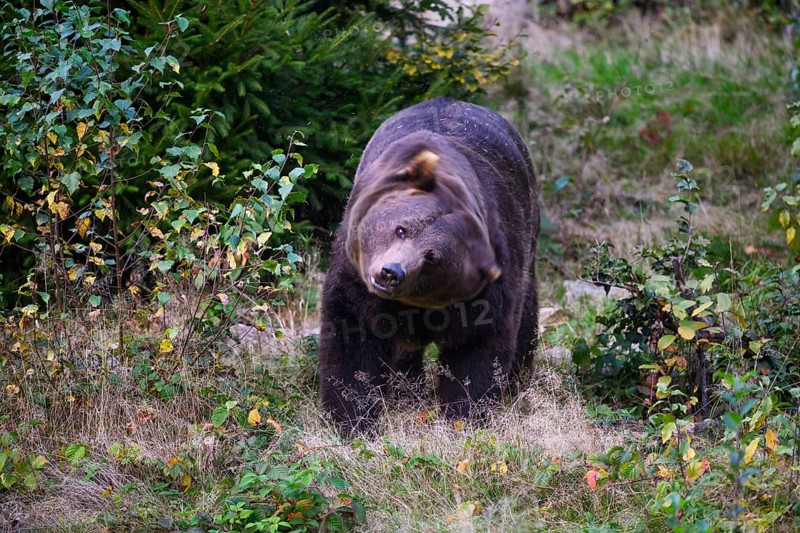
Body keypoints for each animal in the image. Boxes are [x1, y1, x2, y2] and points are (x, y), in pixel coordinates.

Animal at [318, 97, 539, 432]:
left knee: (527, 312)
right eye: (401, 229)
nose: (391, 272)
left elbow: (477, 347)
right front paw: (353, 416)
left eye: (432, 256)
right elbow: (352, 335)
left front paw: (465, 413)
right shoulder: (356, 275)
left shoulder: (487, 284)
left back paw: (517, 380)